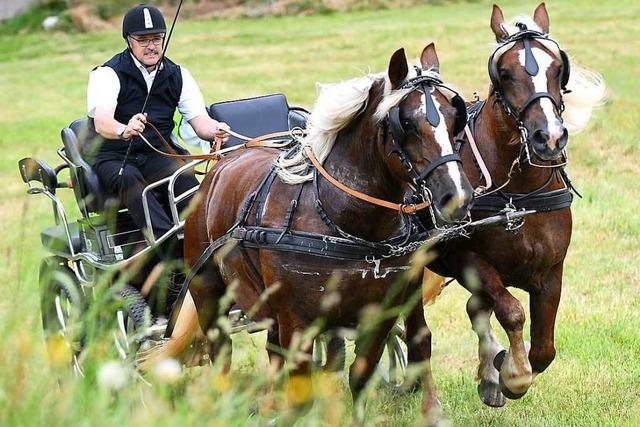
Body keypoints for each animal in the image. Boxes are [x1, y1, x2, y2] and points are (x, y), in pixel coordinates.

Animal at [145, 42, 476, 412]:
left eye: (454, 118)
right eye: (406, 123)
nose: (457, 196)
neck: (345, 224)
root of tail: (221, 163)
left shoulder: (378, 313)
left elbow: (360, 377)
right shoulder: (298, 321)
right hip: (208, 293)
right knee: (222, 354)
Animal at [408, 1, 608, 420]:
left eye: (556, 68)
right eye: (505, 73)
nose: (549, 137)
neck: (519, 193)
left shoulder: (551, 272)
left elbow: (544, 348)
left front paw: (500, 371)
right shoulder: (469, 261)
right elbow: (512, 311)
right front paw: (512, 375)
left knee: (474, 309)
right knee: (416, 332)